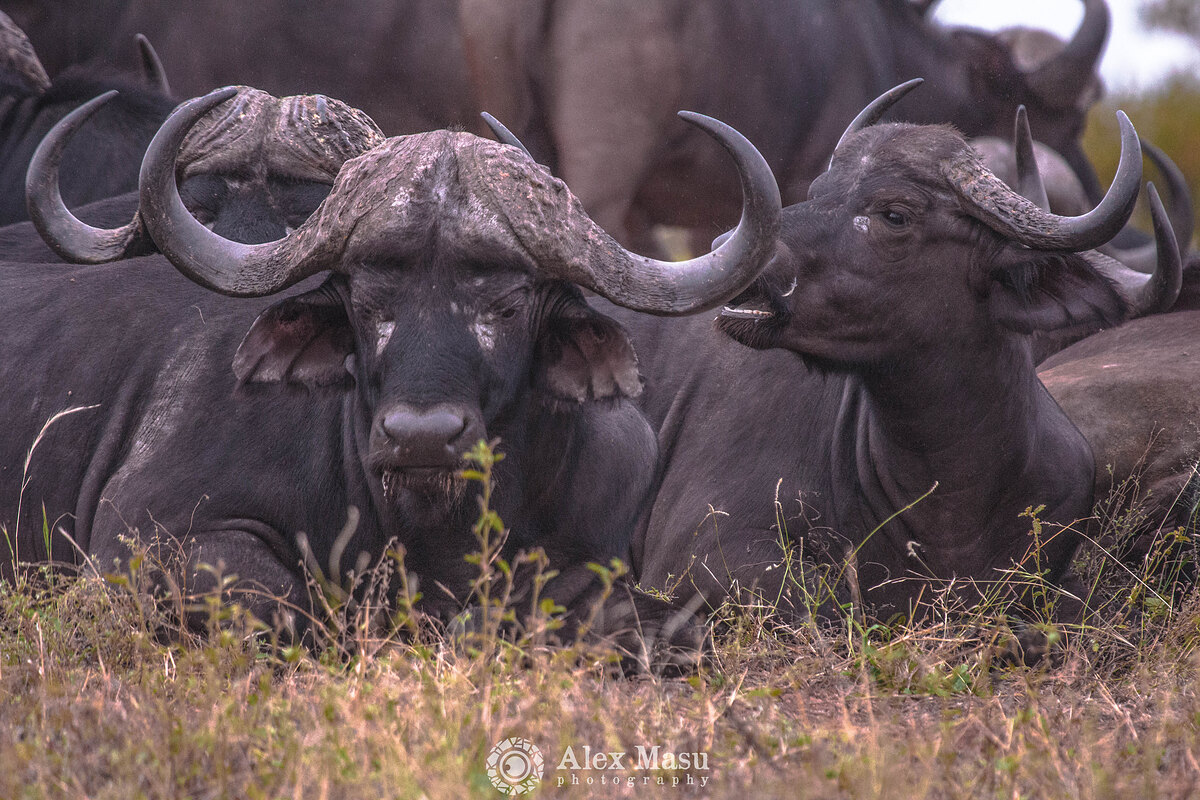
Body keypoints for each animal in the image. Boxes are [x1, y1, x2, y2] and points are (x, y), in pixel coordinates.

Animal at [0, 89, 780, 667]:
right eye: (368, 301)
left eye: (507, 302)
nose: (422, 437)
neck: (438, 534)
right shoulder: (145, 542)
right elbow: (292, 606)